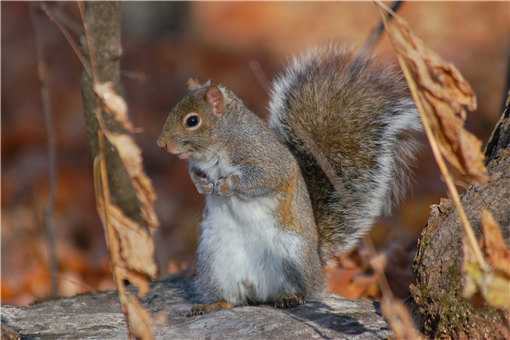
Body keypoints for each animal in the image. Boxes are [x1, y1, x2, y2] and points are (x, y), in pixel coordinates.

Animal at [157, 45, 420, 316]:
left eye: (192, 121)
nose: (161, 144)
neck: (222, 142)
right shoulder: (197, 167)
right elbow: (195, 175)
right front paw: (203, 186)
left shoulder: (266, 159)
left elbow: (262, 178)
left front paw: (227, 184)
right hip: (215, 261)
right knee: (232, 297)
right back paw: (214, 304)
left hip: (293, 254)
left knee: (306, 291)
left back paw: (291, 297)